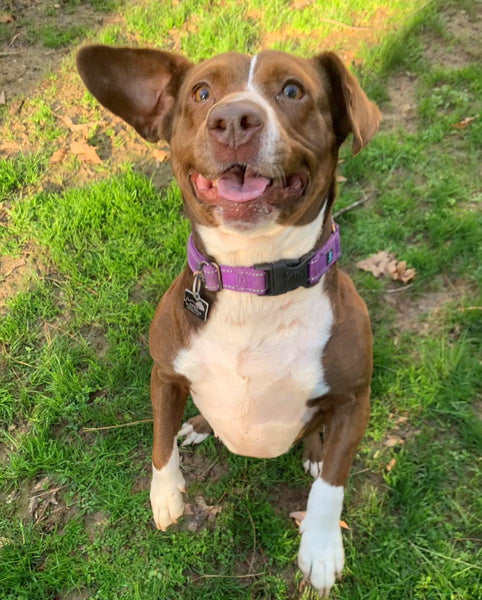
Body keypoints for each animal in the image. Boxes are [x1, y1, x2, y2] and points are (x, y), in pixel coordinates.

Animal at [76, 43, 380, 596]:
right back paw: (197, 425)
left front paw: (321, 548)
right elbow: (158, 444)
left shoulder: (354, 398)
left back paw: (312, 450)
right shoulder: (164, 373)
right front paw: (167, 496)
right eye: (201, 93)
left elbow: (333, 485)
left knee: (318, 442)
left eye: (292, 90)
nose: (234, 119)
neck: (251, 276)